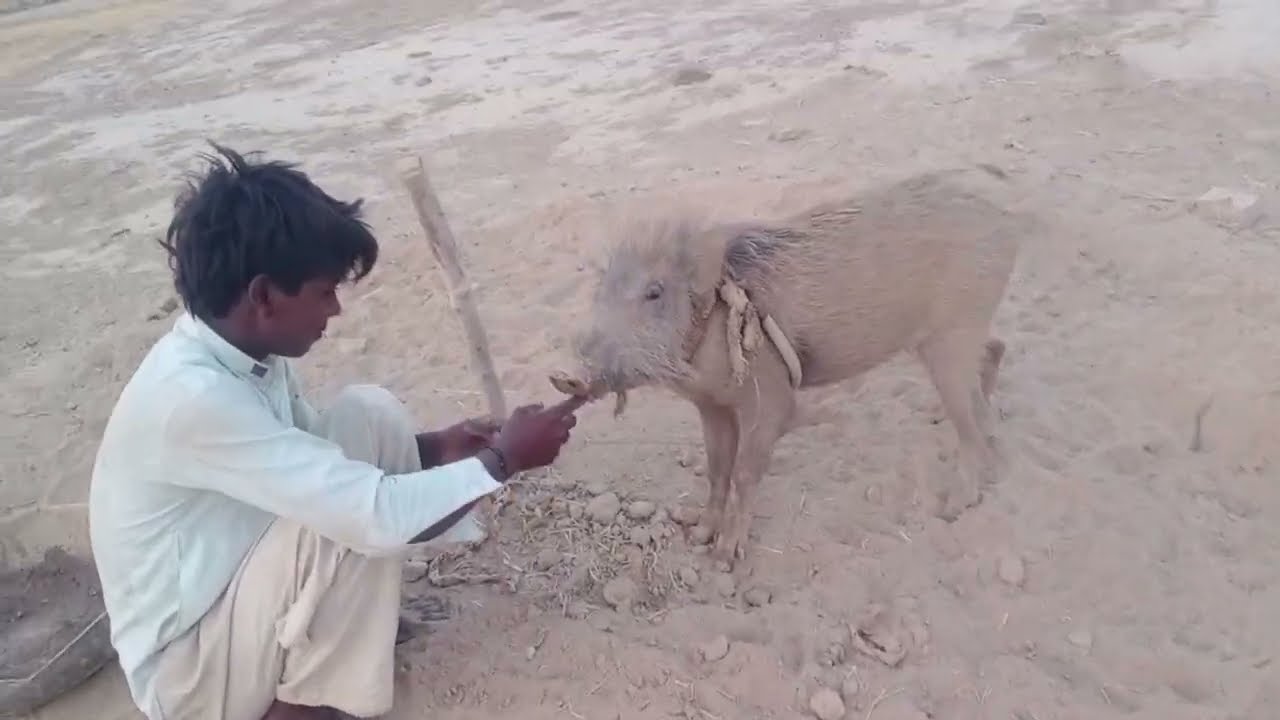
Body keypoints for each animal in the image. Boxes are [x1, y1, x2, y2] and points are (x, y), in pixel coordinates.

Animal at [554, 165, 1026, 567]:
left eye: (654, 292)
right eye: (601, 287)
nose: (565, 377)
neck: (707, 328)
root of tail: (998, 190)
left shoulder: (770, 397)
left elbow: (744, 472)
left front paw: (724, 558)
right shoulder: (712, 407)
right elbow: (717, 467)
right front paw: (699, 532)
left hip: (953, 335)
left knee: (970, 420)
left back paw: (954, 505)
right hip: (954, 335)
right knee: (995, 352)